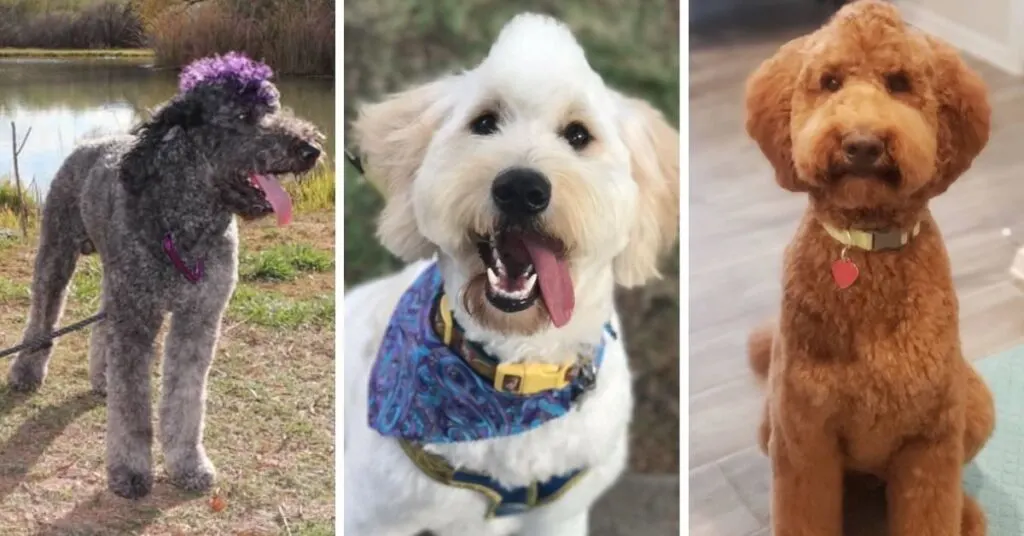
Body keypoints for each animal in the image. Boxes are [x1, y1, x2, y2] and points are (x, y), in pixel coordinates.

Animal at [7, 52, 323, 502]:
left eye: (273, 107)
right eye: (243, 115)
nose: (312, 148)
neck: (185, 225)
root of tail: (89, 145)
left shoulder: (198, 319)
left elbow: (186, 400)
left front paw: (188, 465)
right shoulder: (138, 319)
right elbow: (134, 408)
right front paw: (130, 471)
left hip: (116, 282)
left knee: (101, 324)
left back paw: (102, 377)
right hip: (57, 254)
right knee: (42, 314)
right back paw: (26, 371)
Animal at [344, 13, 679, 536]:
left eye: (578, 135)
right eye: (484, 123)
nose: (521, 188)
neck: (515, 370)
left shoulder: (560, 513)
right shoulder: (375, 512)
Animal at [749, 2, 995, 532]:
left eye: (899, 82)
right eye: (830, 81)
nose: (862, 144)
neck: (865, 248)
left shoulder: (931, 440)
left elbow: (933, 510)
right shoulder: (803, 439)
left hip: (977, 406)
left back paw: (966, 514)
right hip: (770, 426)